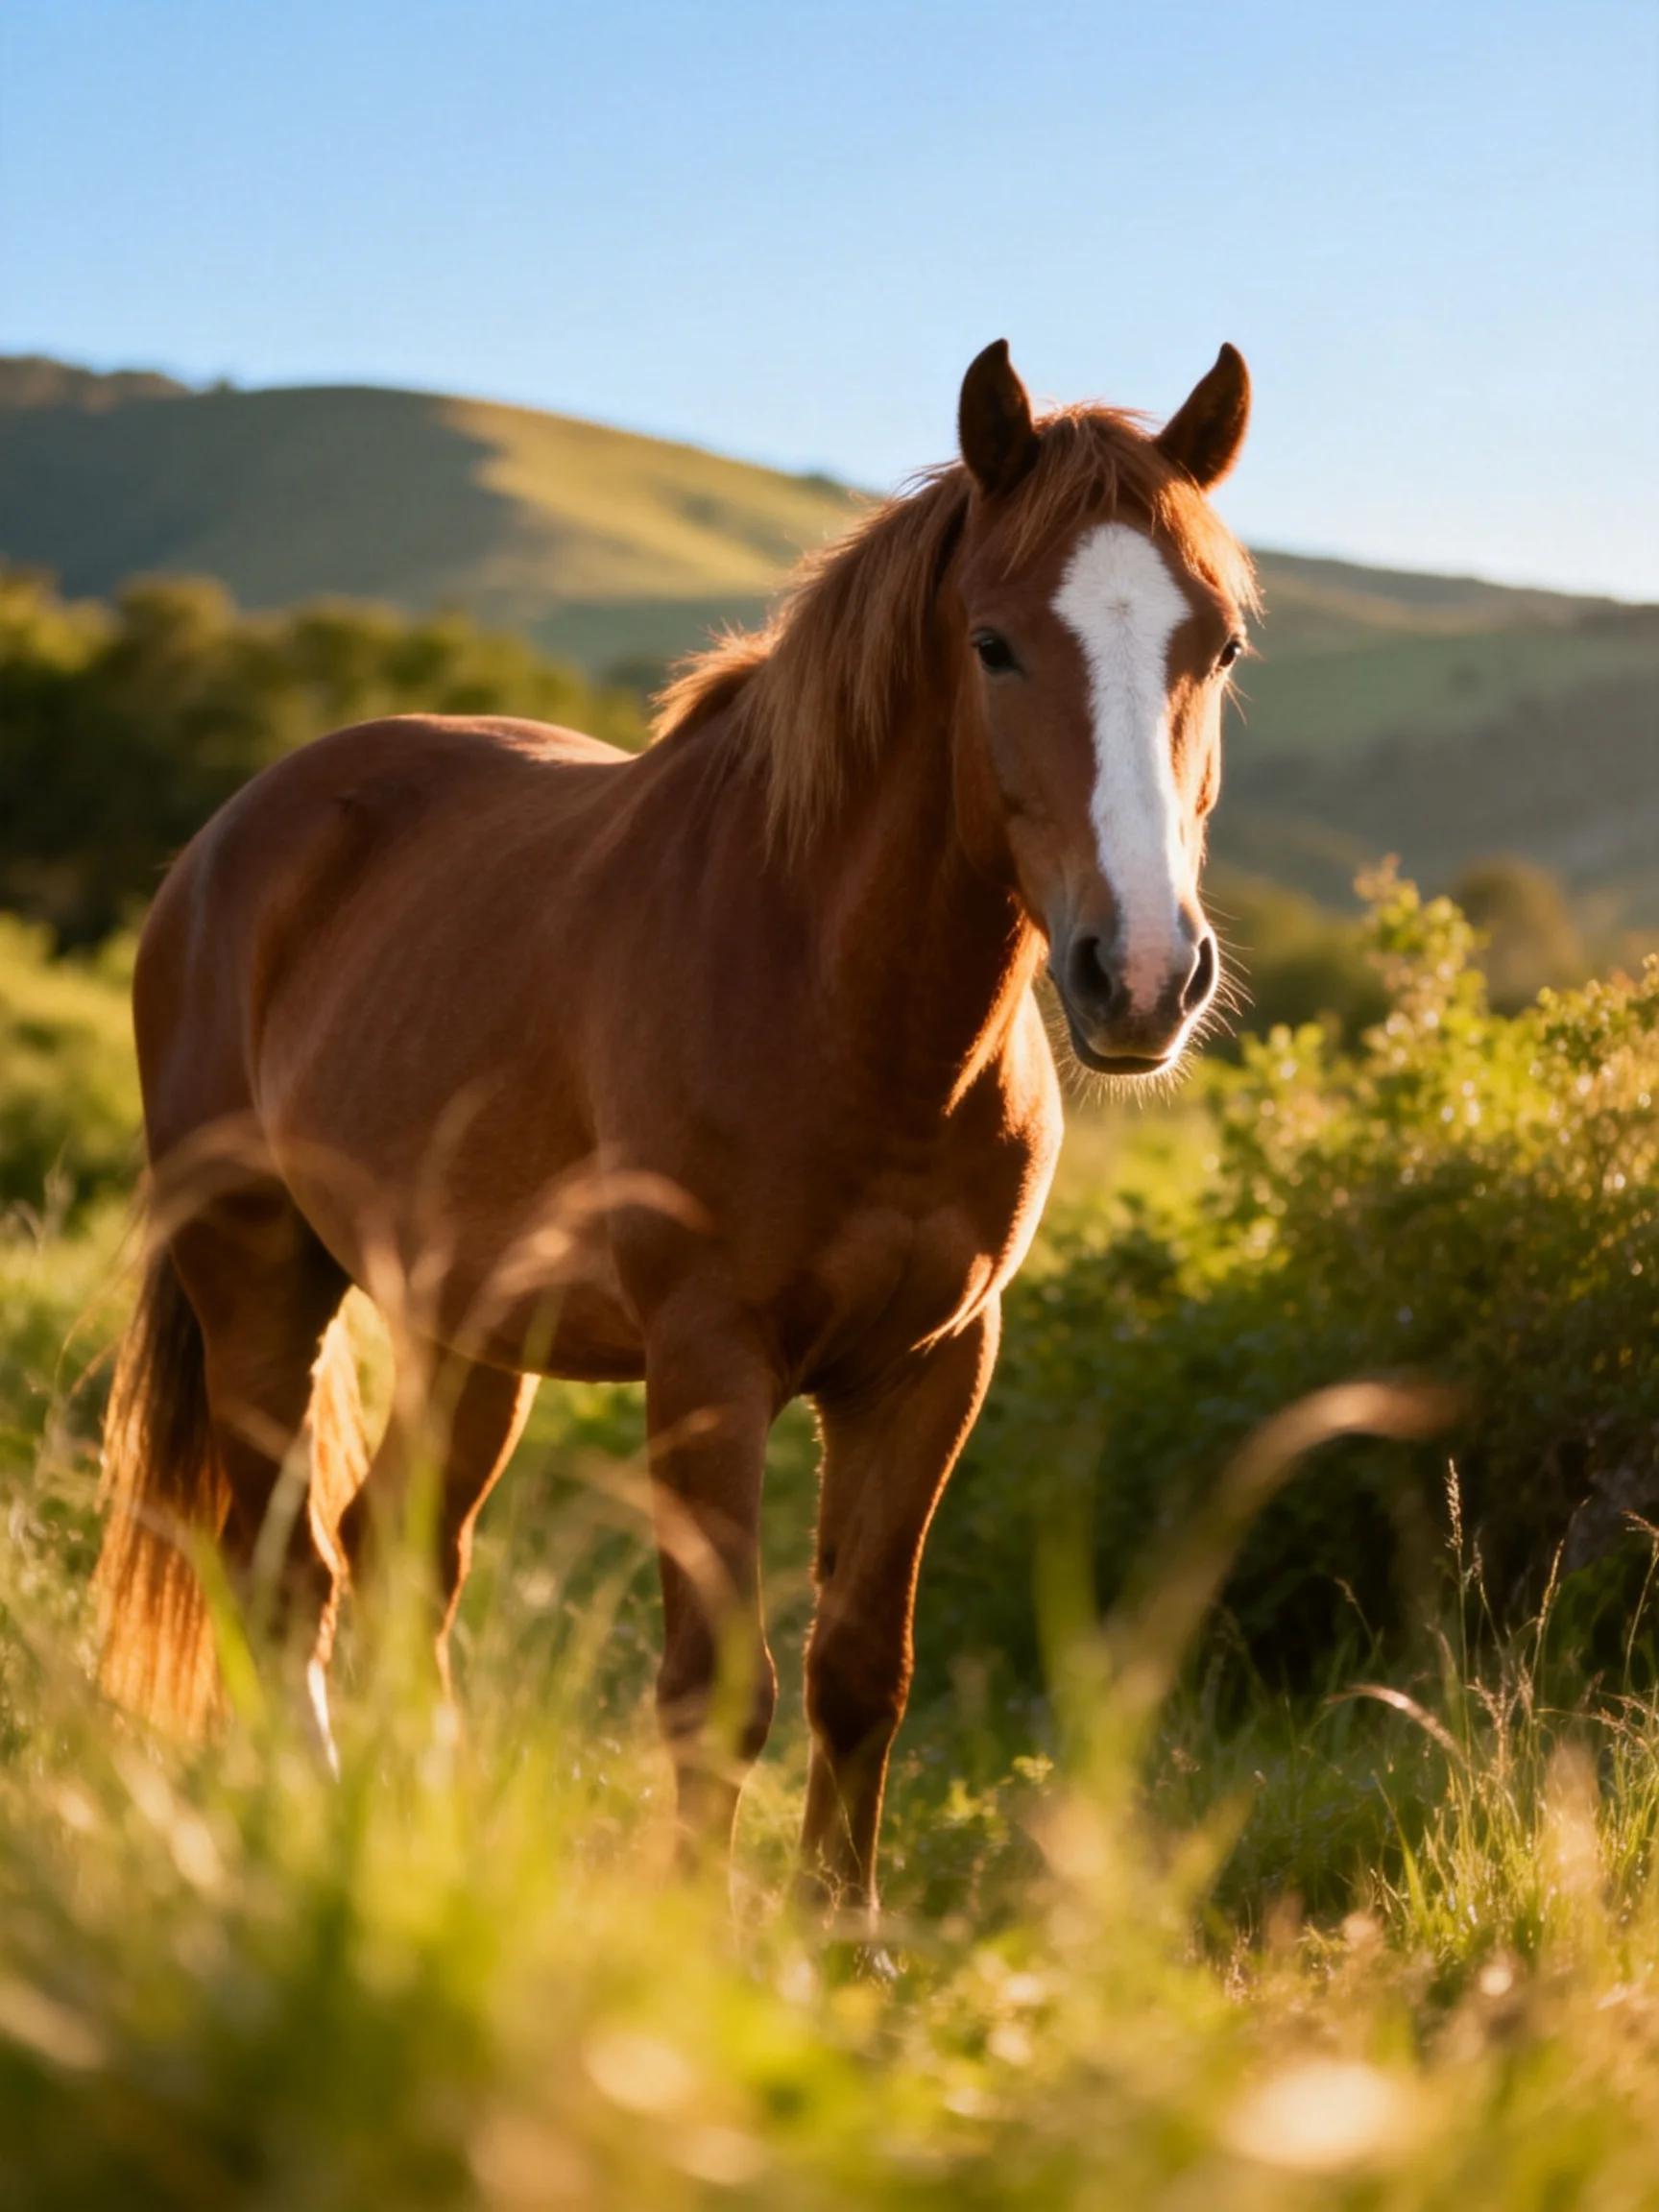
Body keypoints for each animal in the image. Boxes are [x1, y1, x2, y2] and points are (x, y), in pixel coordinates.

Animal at [94, 338, 1255, 1911]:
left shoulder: (932, 1367)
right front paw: (694, 1936)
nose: (1137, 973)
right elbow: (719, 1688)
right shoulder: (710, 1361)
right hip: (261, 1275)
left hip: (467, 1333)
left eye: (1218, 647)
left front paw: (844, 1931)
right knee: (289, 1576)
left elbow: (858, 1674)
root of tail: (229, 840)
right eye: (995, 643)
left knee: (405, 1564)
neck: (843, 1002)